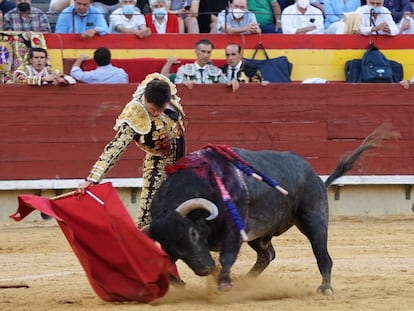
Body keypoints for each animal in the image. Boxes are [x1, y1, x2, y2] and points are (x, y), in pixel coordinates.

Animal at [149, 131, 388, 294]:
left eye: (193, 233)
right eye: (171, 246)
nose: (205, 268)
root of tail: (314, 175)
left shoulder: (234, 230)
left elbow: (227, 256)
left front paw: (223, 284)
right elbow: (166, 267)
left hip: (314, 219)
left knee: (322, 255)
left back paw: (325, 288)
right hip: (260, 233)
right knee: (267, 255)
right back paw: (246, 281)